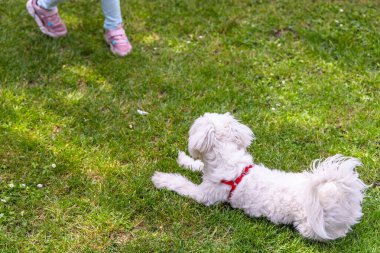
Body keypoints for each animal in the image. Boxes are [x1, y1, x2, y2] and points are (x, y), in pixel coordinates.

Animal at [152, 113, 368, 241]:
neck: (230, 162)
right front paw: (185, 160)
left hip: (311, 226)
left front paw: (161, 179)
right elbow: (198, 166)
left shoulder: (205, 195)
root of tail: (344, 199)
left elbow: (182, 184)